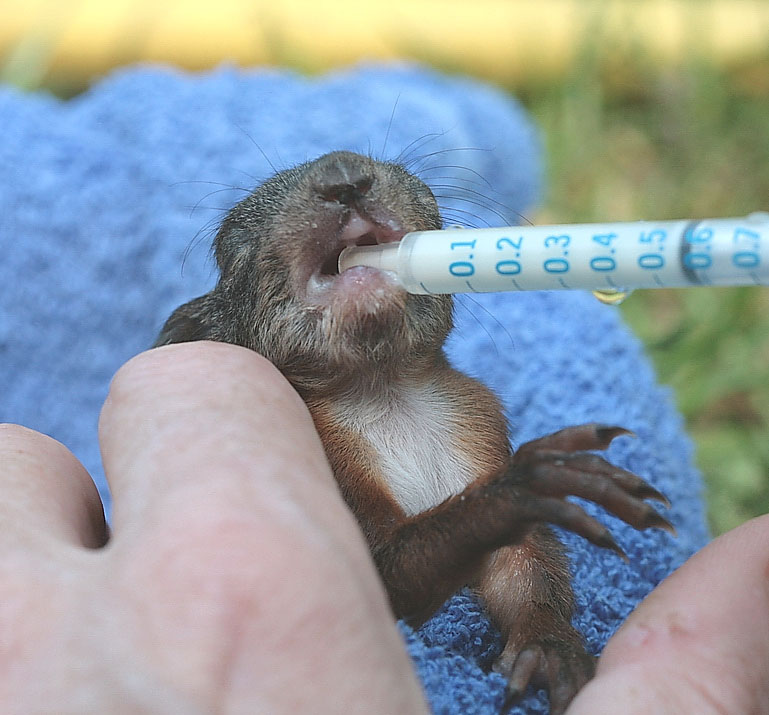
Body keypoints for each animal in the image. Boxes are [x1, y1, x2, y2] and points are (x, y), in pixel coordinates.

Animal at [156, 150, 672, 712]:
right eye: (232, 242)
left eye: (420, 188)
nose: (342, 173)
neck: (388, 392)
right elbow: (388, 574)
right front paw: (524, 484)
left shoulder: (477, 429)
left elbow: (521, 566)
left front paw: (548, 643)